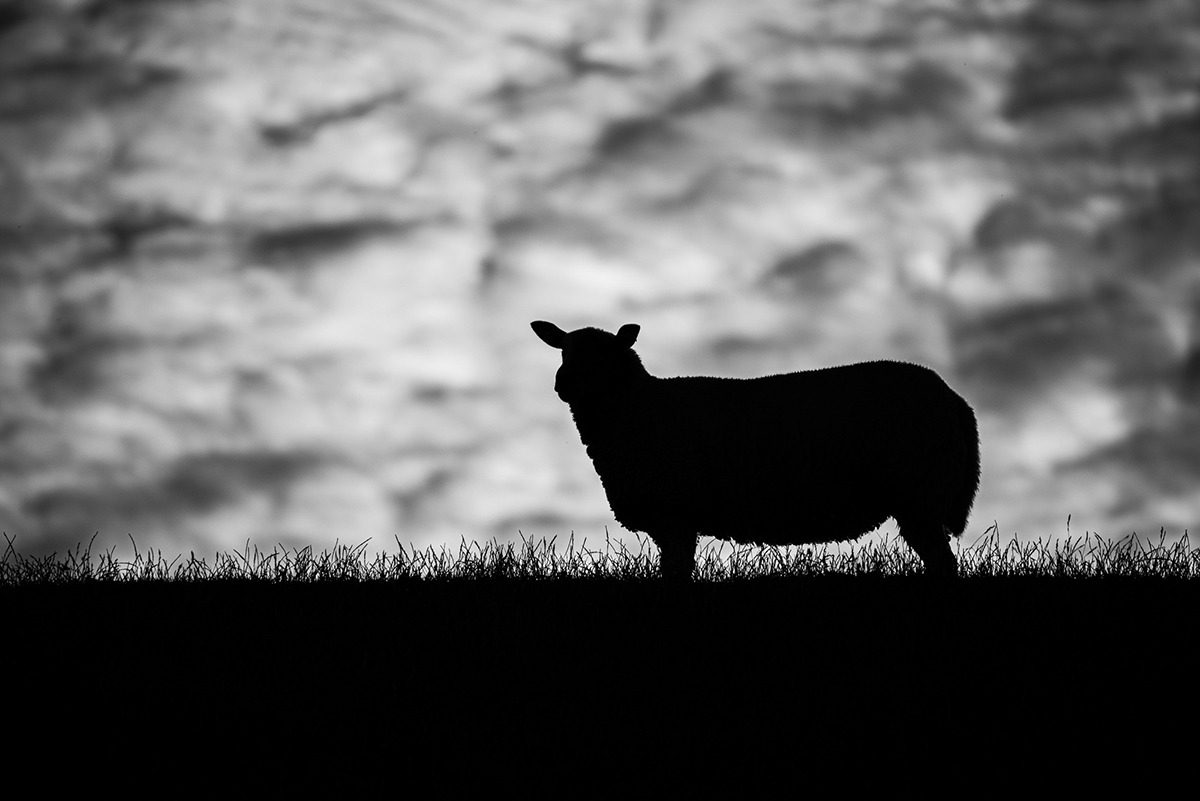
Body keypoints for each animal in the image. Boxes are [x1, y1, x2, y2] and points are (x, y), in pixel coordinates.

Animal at [531, 320, 981, 580]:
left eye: (605, 354)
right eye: (564, 350)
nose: (562, 383)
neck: (639, 409)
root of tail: (956, 401)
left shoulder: (676, 511)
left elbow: (676, 575)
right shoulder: (665, 518)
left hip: (918, 494)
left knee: (943, 565)